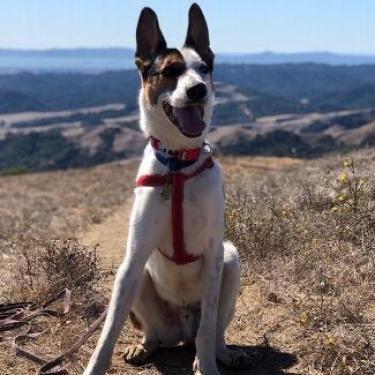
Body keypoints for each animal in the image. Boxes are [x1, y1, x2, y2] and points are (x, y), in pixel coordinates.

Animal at [83, 3, 251, 375]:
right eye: (170, 71)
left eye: (204, 68)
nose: (198, 89)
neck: (177, 166)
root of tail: (182, 329)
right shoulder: (133, 257)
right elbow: (109, 327)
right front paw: (95, 365)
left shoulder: (214, 253)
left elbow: (208, 327)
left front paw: (207, 365)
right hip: (141, 278)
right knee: (154, 334)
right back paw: (144, 346)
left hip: (230, 261)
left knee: (211, 329)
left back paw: (221, 352)